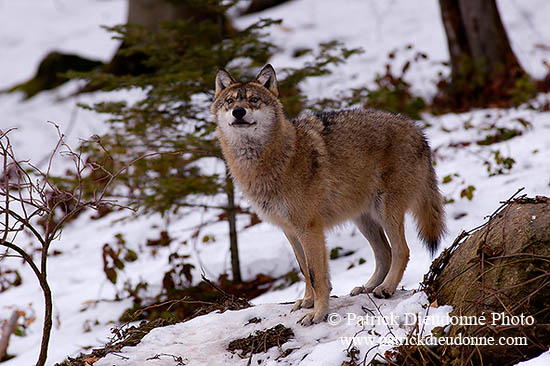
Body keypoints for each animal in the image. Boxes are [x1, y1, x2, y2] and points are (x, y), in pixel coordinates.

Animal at [209, 64, 446, 324]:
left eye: (253, 100)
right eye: (230, 101)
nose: (238, 112)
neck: (272, 160)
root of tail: (417, 129)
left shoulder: (310, 229)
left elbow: (316, 275)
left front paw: (318, 313)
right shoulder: (291, 232)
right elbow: (305, 270)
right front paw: (307, 301)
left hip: (386, 212)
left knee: (402, 251)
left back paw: (386, 288)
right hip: (363, 220)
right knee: (385, 253)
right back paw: (368, 286)